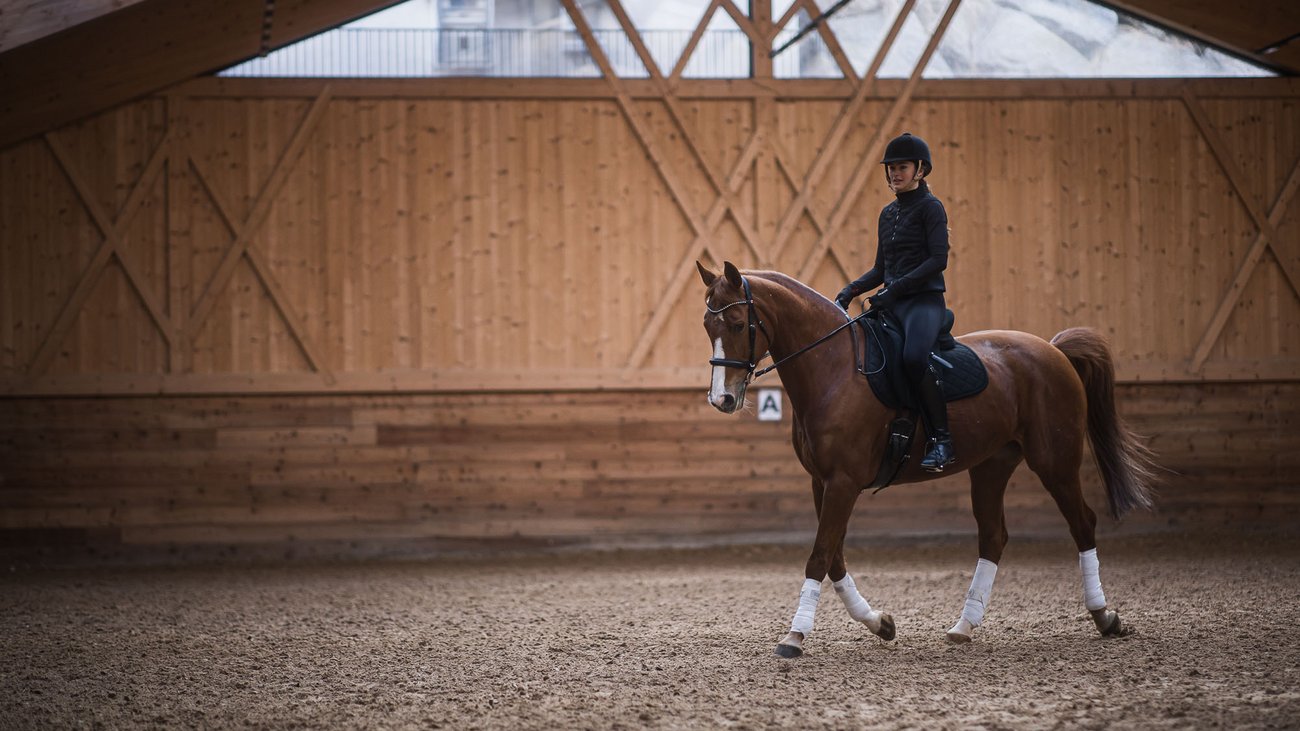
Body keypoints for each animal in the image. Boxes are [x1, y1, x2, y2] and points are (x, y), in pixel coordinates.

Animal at [696, 261, 1157, 657]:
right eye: (706, 326)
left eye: (736, 324)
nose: (722, 399)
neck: (834, 368)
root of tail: (1054, 350)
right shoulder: (822, 480)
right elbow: (834, 558)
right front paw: (880, 623)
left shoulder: (843, 482)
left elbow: (820, 556)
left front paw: (794, 636)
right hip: (992, 465)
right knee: (994, 536)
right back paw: (964, 626)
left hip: (1054, 462)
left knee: (1083, 523)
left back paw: (1104, 617)